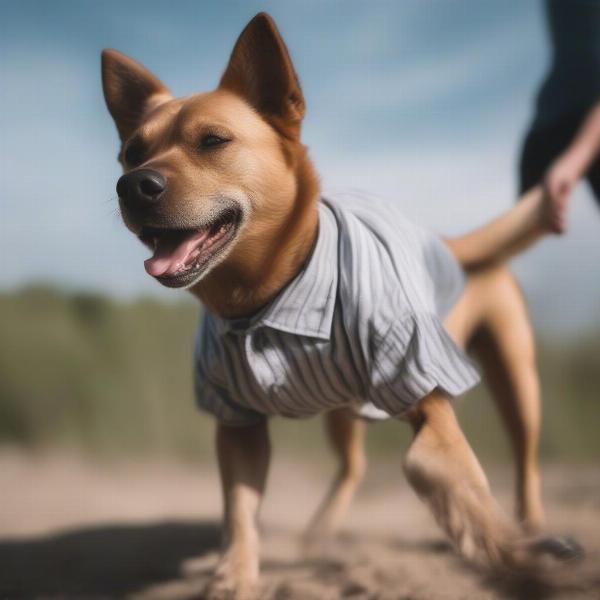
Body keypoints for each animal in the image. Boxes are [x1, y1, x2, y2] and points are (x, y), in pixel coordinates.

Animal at [102, 12, 576, 600]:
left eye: (213, 141)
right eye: (131, 153)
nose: (131, 185)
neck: (263, 297)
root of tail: (452, 242)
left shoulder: (424, 390)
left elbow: (444, 475)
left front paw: (507, 550)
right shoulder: (236, 423)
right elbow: (239, 510)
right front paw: (234, 575)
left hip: (515, 377)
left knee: (526, 463)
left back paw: (532, 528)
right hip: (345, 412)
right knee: (352, 465)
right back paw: (319, 535)